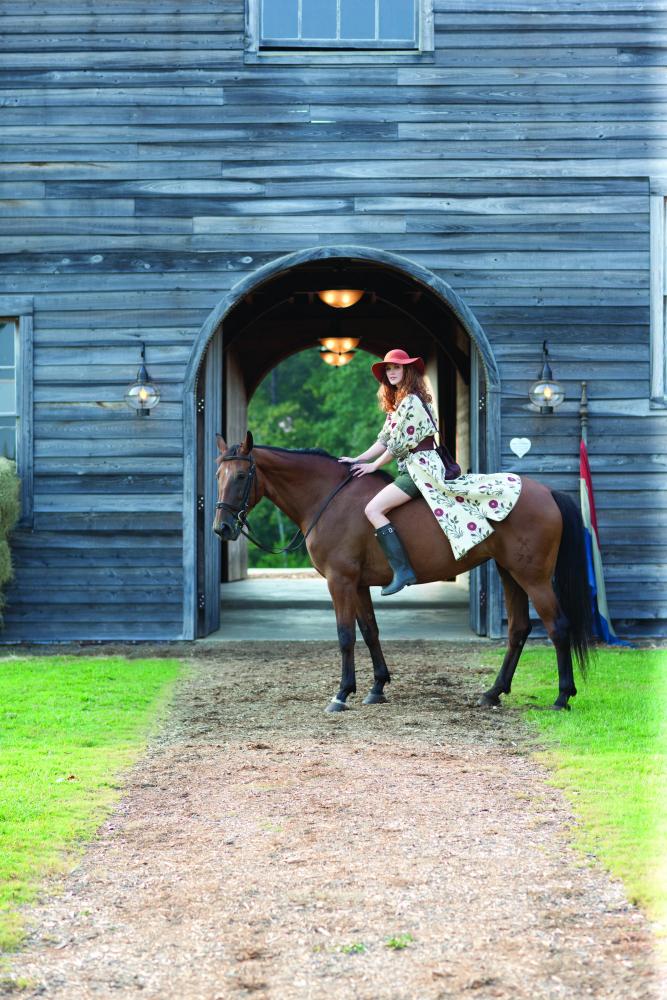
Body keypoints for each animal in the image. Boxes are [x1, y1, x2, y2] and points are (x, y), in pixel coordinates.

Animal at [213, 432, 593, 714]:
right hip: (509, 572)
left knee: (557, 627)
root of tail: (546, 491)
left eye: (242, 476)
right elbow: (370, 632)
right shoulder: (358, 585)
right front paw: (377, 687)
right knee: (518, 629)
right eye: (218, 476)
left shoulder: (340, 581)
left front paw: (341, 694)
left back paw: (562, 696)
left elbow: (345, 636)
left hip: (533, 577)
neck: (328, 499)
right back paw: (493, 692)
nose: (222, 528)